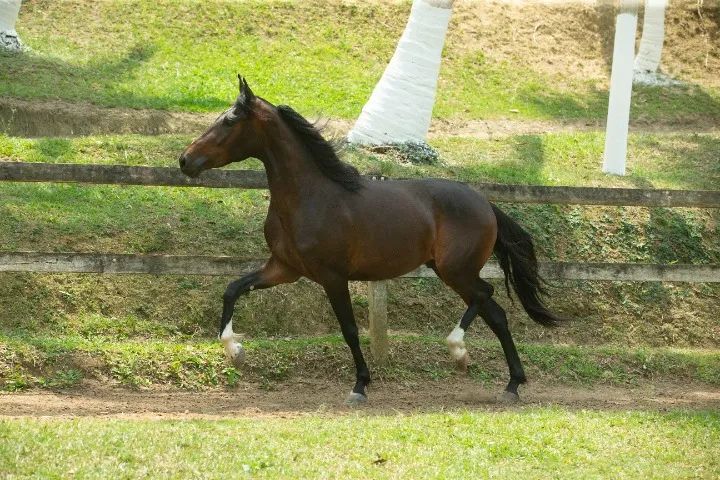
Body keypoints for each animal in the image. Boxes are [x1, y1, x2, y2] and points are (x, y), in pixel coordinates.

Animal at [179, 76, 562, 405]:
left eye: (229, 121)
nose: (185, 161)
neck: (310, 197)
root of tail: (486, 203)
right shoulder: (283, 269)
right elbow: (232, 289)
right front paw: (235, 351)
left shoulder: (333, 277)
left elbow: (349, 329)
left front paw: (360, 386)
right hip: (449, 271)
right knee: (495, 313)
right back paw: (511, 385)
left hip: (457, 270)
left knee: (486, 296)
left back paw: (459, 351)